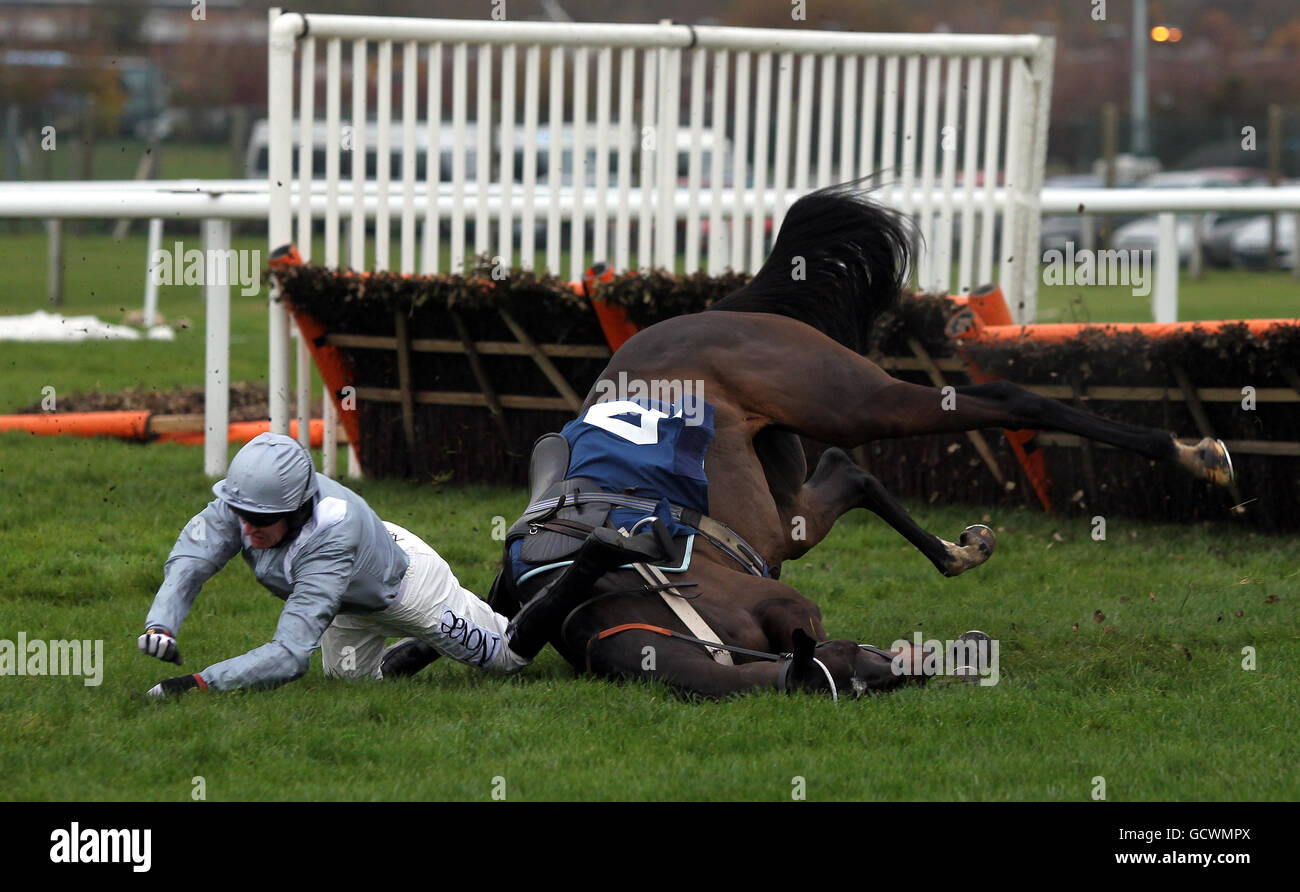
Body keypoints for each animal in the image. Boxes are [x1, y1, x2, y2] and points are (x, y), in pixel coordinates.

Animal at [392, 183, 1227, 696]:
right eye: (870, 676)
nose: (957, 653)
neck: (621, 604)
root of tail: (718, 310)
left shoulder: (786, 602)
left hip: (841, 395)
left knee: (996, 397)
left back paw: (1194, 453)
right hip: (779, 498)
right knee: (844, 472)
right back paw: (961, 550)